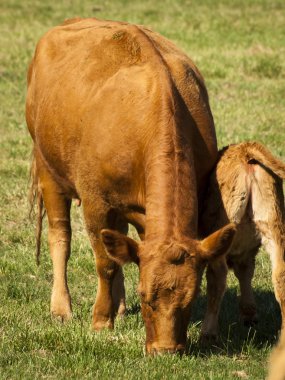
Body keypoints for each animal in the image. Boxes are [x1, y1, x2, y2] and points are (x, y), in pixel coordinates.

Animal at [26, 17, 235, 354]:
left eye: (190, 300)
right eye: (145, 296)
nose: (165, 351)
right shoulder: (97, 202)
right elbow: (105, 264)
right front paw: (101, 320)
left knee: (121, 238)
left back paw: (119, 306)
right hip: (48, 168)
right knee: (60, 237)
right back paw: (61, 308)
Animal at [199, 142, 282, 342]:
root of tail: (245, 151)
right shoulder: (246, 254)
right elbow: (245, 274)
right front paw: (249, 315)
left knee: (217, 280)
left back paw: (207, 334)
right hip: (274, 228)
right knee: (280, 277)